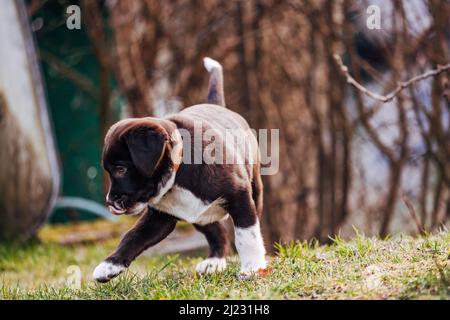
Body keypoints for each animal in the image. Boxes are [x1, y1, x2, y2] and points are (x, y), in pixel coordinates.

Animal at [92, 57, 268, 282]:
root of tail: (217, 106)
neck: (178, 176)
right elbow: (133, 236)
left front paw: (253, 267)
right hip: (198, 216)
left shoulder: (240, 197)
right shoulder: (159, 218)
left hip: (254, 188)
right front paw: (109, 266)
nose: (109, 201)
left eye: (121, 169)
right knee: (217, 233)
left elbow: (247, 234)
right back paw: (214, 262)